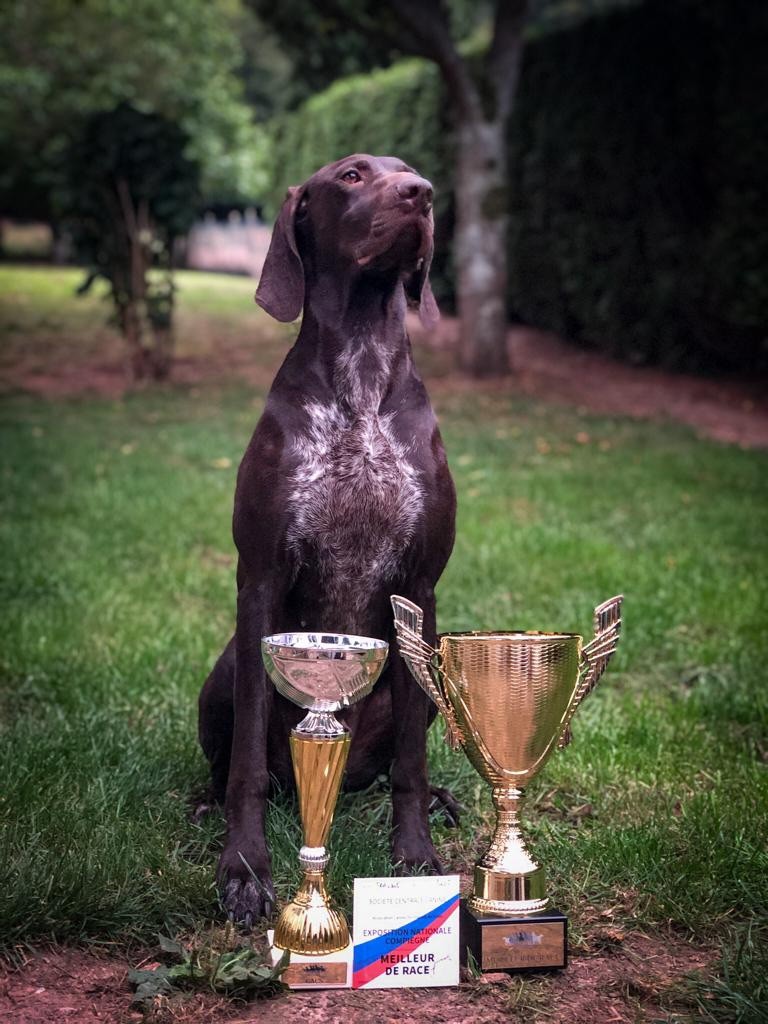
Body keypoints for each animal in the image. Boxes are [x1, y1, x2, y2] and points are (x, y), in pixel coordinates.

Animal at [201, 153, 460, 929]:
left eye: (411, 171)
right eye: (351, 175)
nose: (423, 196)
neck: (362, 371)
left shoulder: (420, 588)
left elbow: (411, 765)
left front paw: (416, 856)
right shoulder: (258, 578)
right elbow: (247, 767)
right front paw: (244, 868)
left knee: (391, 766)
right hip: (226, 667)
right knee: (228, 763)